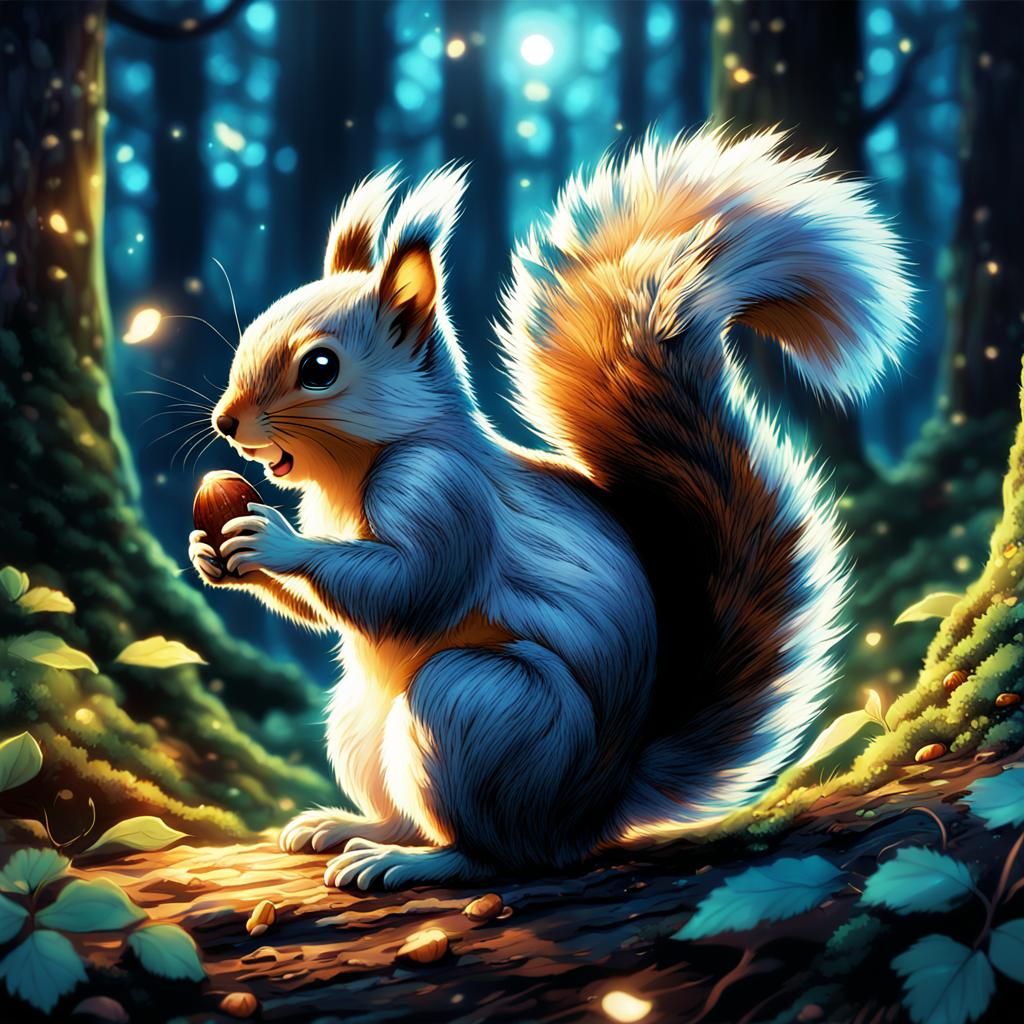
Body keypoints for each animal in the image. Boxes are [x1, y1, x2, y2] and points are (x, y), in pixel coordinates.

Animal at [190, 129, 911, 890]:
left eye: (320, 367)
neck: (352, 472)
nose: (226, 422)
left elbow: (411, 588)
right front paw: (213, 555)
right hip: (362, 721)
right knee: (409, 809)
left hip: (478, 709)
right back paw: (351, 827)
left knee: (498, 852)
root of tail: (594, 810)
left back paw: (413, 861)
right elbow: (326, 610)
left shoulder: (443, 492)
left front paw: (275, 543)